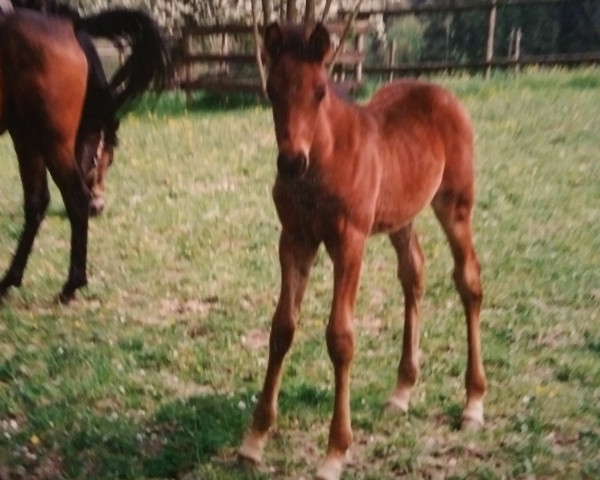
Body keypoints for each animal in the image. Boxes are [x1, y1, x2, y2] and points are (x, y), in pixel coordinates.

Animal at [0, 7, 169, 302]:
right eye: (107, 159)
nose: (98, 207)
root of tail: (71, 27)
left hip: (47, 140)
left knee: (72, 198)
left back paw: (71, 284)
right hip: (27, 136)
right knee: (37, 203)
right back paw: (11, 279)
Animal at [239, 22, 488, 480]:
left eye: (320, 90)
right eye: (271, 89)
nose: (291, 163)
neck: (324, 156)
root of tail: (441, 93)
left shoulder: (349, 242)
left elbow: (340, 338)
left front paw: (335, 453)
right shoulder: (294, 240)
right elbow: (281, 328)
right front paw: (254, 440)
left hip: (455, 205)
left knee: (469, 280)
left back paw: (473, 404)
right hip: (401, 215)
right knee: (414, 273)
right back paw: (401, 392)